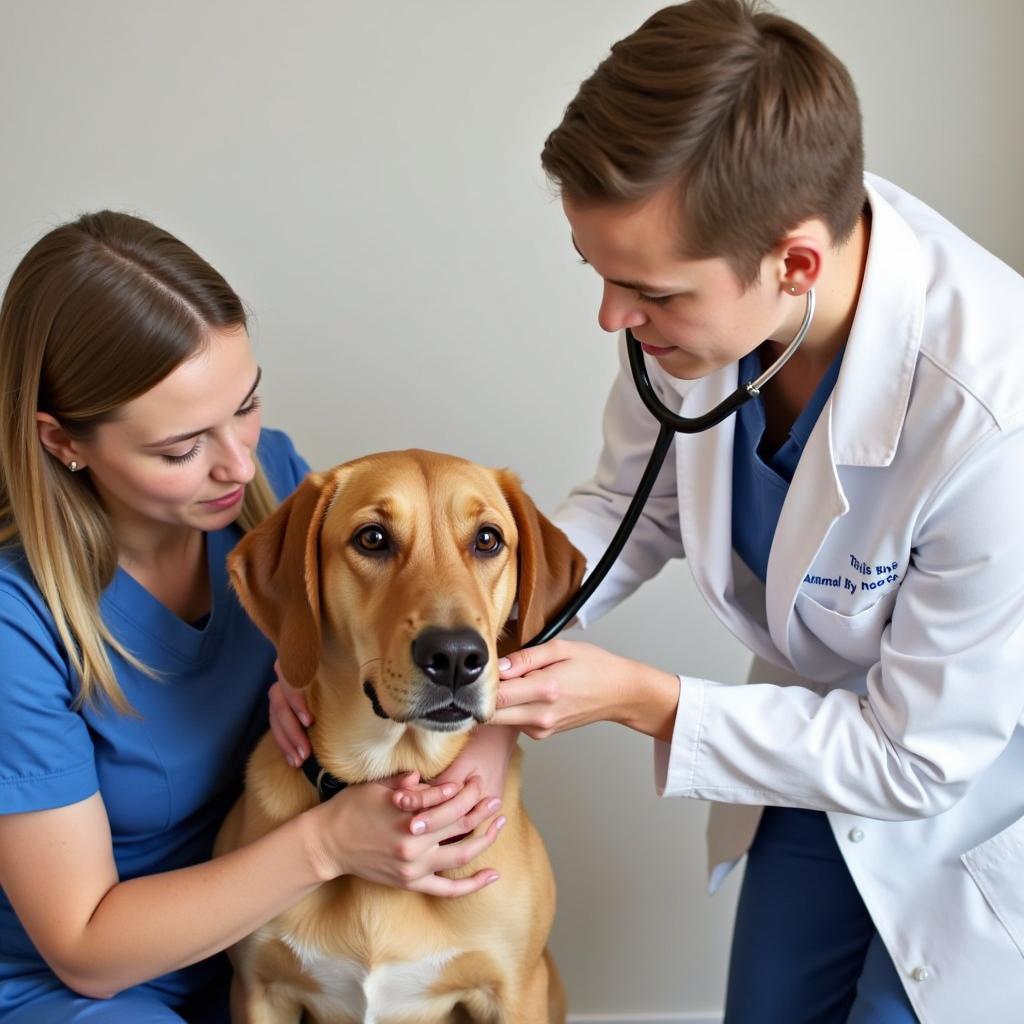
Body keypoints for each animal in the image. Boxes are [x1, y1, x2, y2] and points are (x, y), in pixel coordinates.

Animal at [216, 450, 585, 1024]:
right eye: (372, 538)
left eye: (487, 539)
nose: (456, 656)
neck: (392, 766)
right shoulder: (259, 990)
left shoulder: (516, 991)